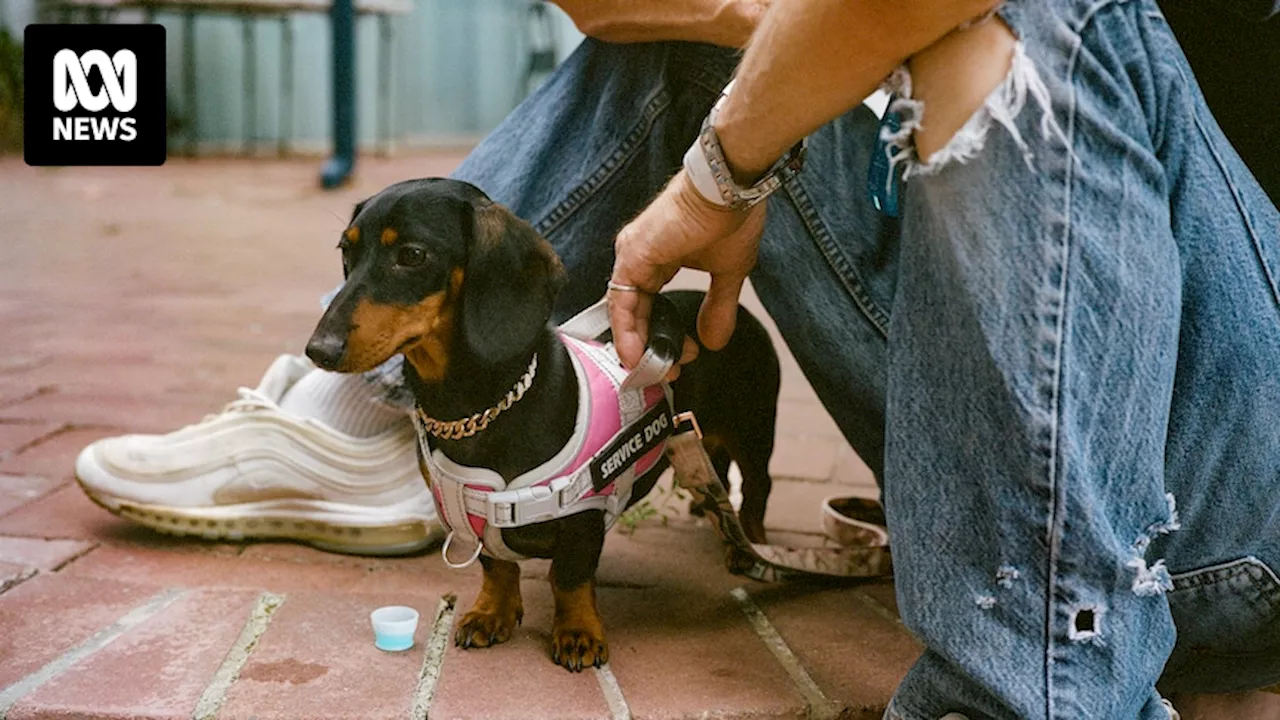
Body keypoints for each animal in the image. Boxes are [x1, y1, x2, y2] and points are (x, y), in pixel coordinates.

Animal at [307, 178, 778, 666]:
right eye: (347, 252)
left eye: (412, 255)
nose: (318, 350)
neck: (470, 409)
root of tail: (726, 311)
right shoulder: (474, 519)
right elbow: (497, 565)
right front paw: (491, 613)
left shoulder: (585, 514)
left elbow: (569, 577)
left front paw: (578, 632)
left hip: (754, 430)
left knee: (757, 487)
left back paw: (751, 546)